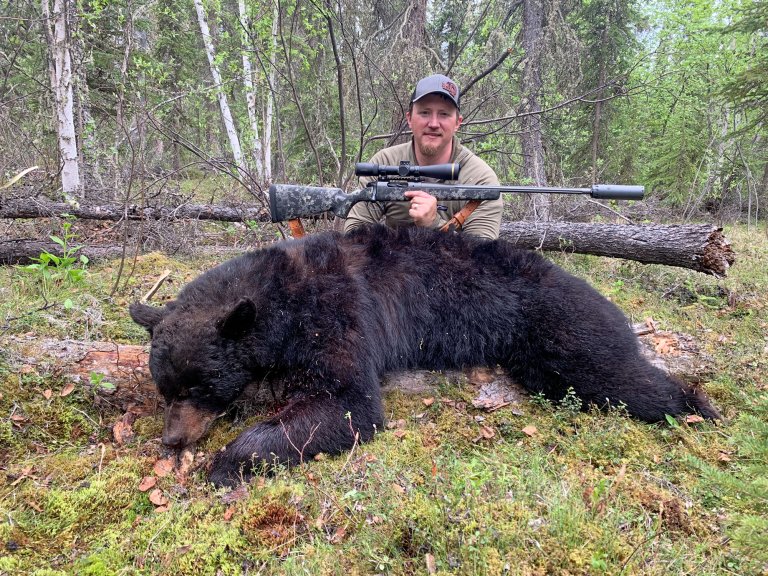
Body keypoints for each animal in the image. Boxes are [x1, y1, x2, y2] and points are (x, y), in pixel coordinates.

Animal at [129, 224, 719, 487]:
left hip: (561, 328)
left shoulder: (338, 315)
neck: (280, 296)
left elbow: (349, 404)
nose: (171, 440)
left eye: (199, 386)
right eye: (164, 388)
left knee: (618, 376)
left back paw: (699, 407)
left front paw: (224, 463)